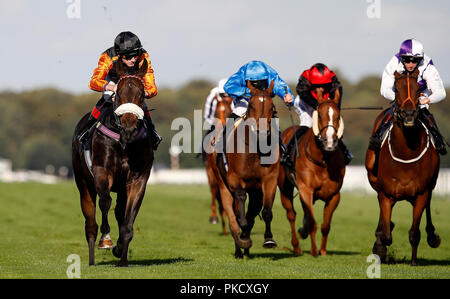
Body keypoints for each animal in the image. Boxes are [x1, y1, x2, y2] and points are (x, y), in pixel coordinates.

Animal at [71, 58, 154, 268]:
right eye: (119, 93)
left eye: (142, 94)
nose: (129, 128)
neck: (123, 143)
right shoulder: (102, 171)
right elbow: (105, 201)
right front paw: (106, 240)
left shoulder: (137, 179)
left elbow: (128, 214)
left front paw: (122, 254)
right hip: (83, 184)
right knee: (91, 223)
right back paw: (92, 257)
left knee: (119, 210)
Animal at [215, 81, 282, 258]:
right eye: (251, 104)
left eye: (272, 106)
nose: (262, 130)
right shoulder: (234, 179)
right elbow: (240, 207)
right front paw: (243, 236)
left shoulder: (269, 179)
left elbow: (266, 211)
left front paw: (268, 239)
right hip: (223, 187)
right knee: (233, 216)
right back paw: (239, 248)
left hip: (256, 191)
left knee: (253, 210)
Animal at [278, 89, 344, 258]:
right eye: (319, 115)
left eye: (338, 116)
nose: (329, 141)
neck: (323, 160)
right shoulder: (306, 190)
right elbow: (312, 222)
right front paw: (314, 251)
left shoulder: (334, 195)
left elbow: (325, 225)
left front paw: (323, 250)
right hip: (285, 187)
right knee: (291, 214)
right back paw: (296, 247)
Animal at [364, 70, 442, 268]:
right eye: (396, 88)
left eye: (419, 89)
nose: (408, 115)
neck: (406, 154)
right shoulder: (386, 193)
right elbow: (386, 234)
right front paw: (380, 247)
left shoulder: (421, 193)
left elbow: (414, 232)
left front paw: (414, 261)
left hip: (431, 185)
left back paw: (432, 236)